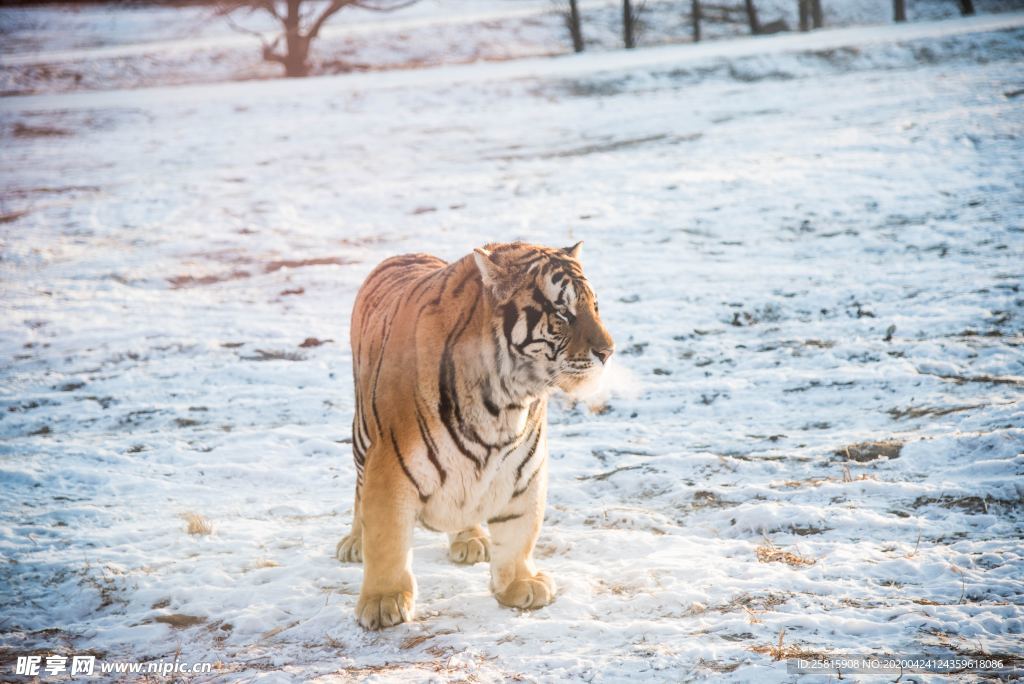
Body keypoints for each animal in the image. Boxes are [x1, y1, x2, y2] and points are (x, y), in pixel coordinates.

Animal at [335, 240, 610, 630]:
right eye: (562, 312)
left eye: (594, 307)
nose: (608, 352)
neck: (503, 404)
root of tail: (407, 253)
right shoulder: (390, 465)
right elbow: (387, 538)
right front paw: (382, 602)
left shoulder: (524, 469)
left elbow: (519, 530)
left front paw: (521, 583)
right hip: (363, 438)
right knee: (360, 492)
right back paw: (355, 543)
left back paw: (471, 539)